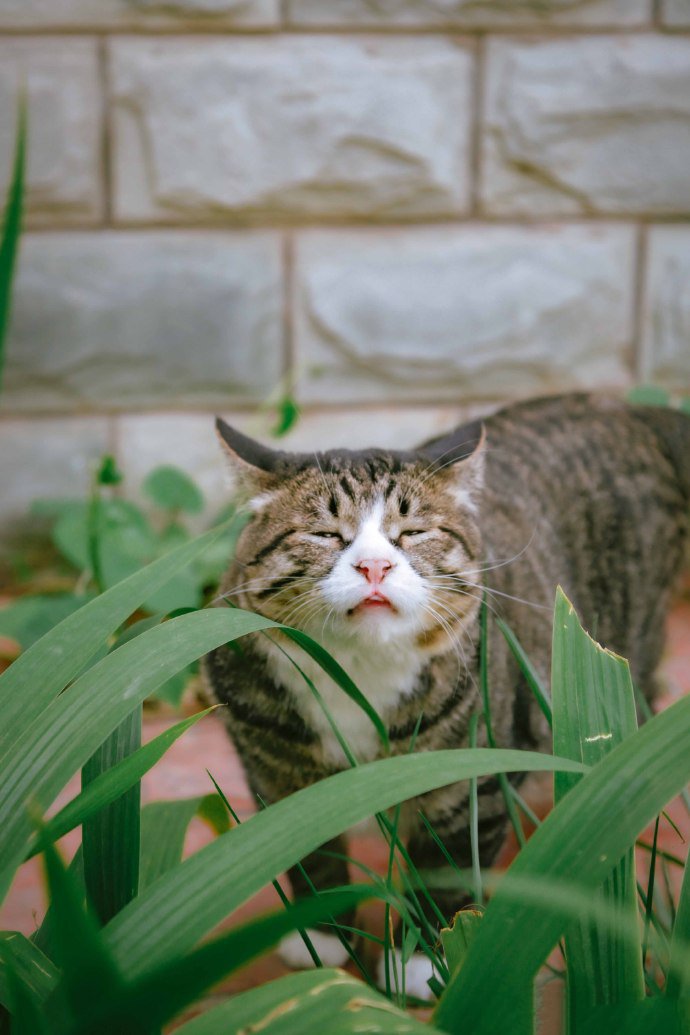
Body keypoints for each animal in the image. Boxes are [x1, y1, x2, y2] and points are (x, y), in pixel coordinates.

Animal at [200, 391, 690, 989]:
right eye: (325, 535)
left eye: (411, 534)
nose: (375, 565)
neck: (358, 670)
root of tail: (626, 406)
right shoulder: (274, 773)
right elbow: (312, 857)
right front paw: (323, 940)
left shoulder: (471, 781)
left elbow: (443, 869)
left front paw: (419, 960)